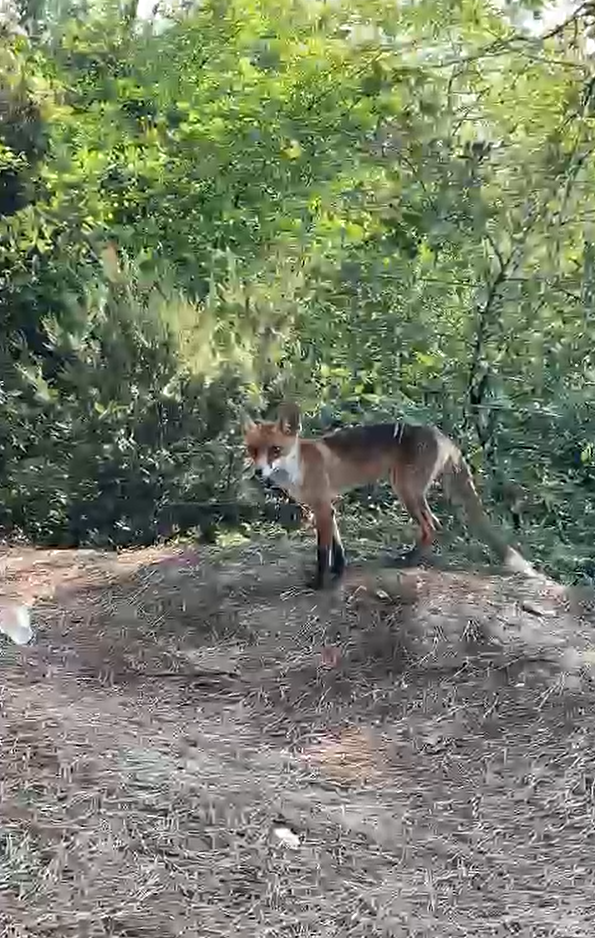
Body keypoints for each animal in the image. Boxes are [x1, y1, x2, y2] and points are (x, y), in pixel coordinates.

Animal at [242, 400, 540, 584]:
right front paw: (340, 571)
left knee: (433, 524)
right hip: (410, 491)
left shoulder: (323, 507)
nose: (258, 472)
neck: (298, 467)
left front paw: (319, 583)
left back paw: (410, 561)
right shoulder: (327, 506)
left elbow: (322, 553)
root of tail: (443, 436)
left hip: (406, 490)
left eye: (275, 450)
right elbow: (338, 548)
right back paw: (412, 558)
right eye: (253, 450)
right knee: (434, 524)